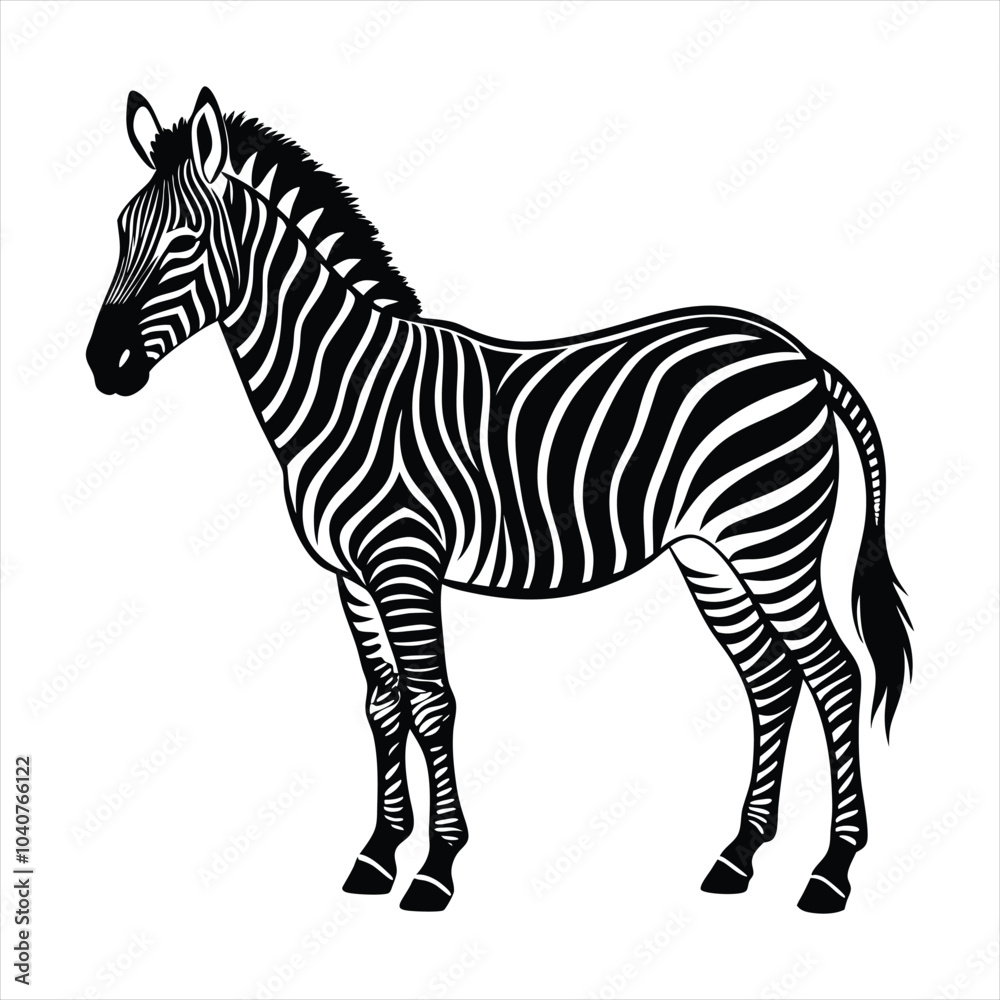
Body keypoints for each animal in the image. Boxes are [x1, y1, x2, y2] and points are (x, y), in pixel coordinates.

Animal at [87, 88, 912, 913]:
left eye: (187, 241)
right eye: (121, 232)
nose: (102, 364)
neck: (343, 388)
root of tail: (798, 353)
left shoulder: (404, 563)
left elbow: (430, 701)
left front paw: (436, 867)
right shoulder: (351, 577)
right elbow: (382, 703)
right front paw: (379, 854)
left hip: (772, 543)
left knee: (835, 674)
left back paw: (832, 870)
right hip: (710, 555)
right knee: (771, 679)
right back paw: (739, 856)